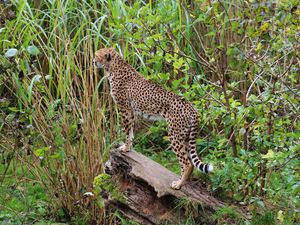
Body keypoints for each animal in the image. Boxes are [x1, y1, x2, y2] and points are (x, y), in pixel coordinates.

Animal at [94, 47, 213, 190]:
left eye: (97, 55)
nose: (93, 61)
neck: (113, 66)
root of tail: (191, 107)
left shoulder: (124, 108)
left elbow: (127, 130)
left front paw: (125, 148)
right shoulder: (131, 110)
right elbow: (131, 131)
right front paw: (129, 147)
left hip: (174, 134)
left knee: (187, 162)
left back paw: (179, 184)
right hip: (185, 135)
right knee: (189, 159)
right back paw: (183, 182)